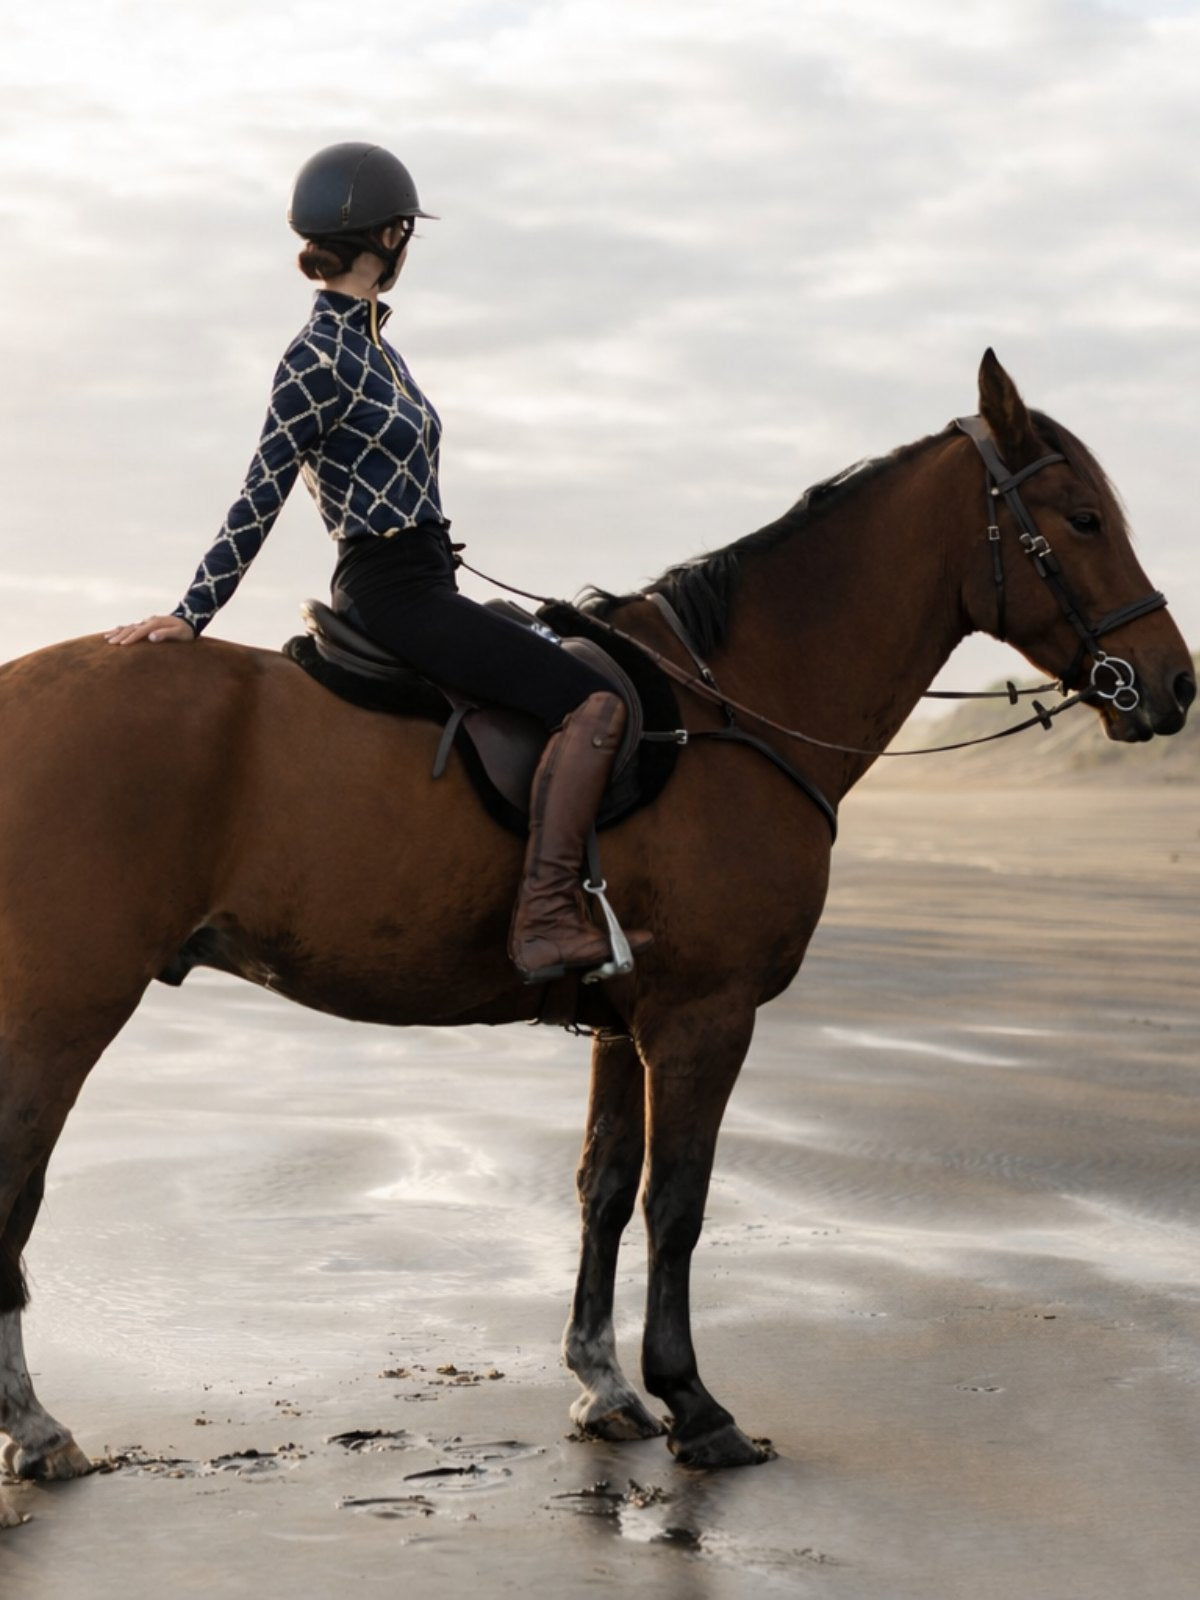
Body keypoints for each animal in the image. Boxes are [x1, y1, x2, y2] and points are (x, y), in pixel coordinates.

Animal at [0, 351, 1193, 1525]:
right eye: (1083, 517)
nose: (1174, 682)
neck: (734, 708)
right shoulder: (704, 1018)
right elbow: (680, 1201)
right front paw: (695, 1402)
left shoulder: (626, 1023)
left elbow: (606, 1187)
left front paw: (605, 1385)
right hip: (66, 1013)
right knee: (15, 1191)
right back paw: (36, 1426)